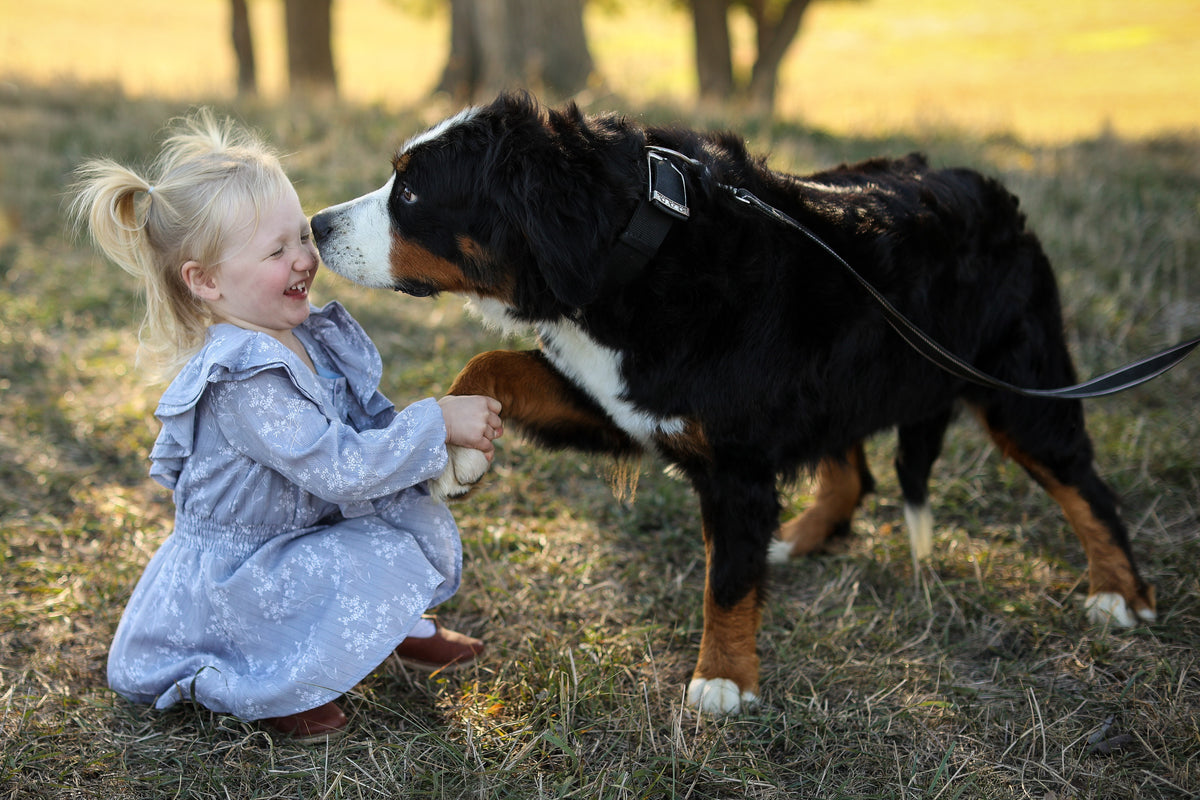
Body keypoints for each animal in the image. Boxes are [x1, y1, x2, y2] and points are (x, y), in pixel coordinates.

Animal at [314, 90, 1156, 714]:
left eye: (411, 190)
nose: (317, 224)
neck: (634, 249)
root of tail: (991, 190)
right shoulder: (621, 399)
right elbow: (489, 363)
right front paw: (456, 449)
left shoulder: (737, 459)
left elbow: (725, 579)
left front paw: (722, 679)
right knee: (853, 472)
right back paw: (797, 539)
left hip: (1022, 393)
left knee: (1085, 486)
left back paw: (1121, 595)